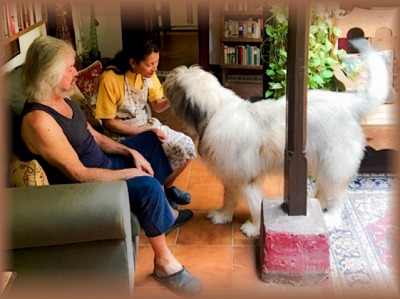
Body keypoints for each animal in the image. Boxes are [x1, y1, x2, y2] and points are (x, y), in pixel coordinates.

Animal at [162, 47, 388, 239]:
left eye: (177, 83)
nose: (168, 75)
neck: (216, 111)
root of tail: (350, 103)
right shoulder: (231, 172)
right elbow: (229, 196)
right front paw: (223, 215)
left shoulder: (247, 177)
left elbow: (254, 204)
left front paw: (253, 227)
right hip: (320, 160)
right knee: (325, 187)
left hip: (334, 161)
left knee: (339, 193)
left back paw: (331, 217)